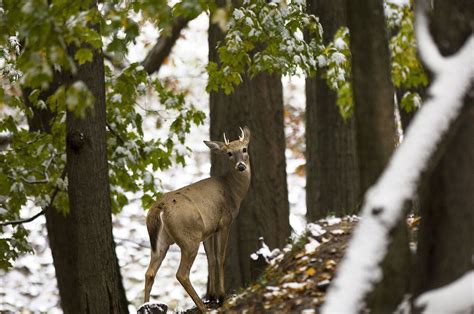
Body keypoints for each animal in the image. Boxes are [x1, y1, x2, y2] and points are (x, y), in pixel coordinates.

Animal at [143, 125, 252, 312]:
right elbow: (220, 258)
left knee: (149, 273)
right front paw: (221, 297)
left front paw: (212, 296)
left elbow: (211, 260)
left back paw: (147, 306)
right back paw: (202, 307)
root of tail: (160, 208)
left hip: (161, 242)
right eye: (229, 153)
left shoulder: (208, 230)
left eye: (244, 149)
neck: (233, 191)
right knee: (181, 274)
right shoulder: (224, 222)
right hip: (188, 238)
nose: (241, 166)